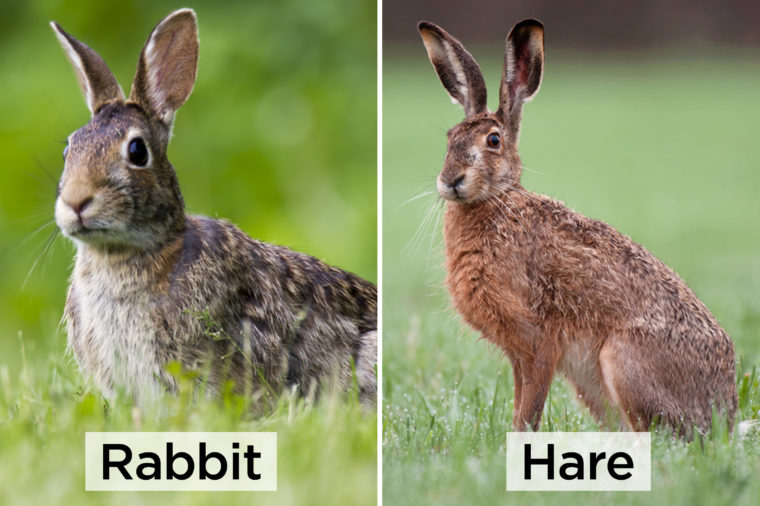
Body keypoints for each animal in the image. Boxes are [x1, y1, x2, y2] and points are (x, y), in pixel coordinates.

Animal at [418, 19, 737, 436]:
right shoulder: (520, 354)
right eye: (449, 139)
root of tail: (725, 418)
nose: (450, 180)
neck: (498, 202)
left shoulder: (537, 342)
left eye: (493, 140)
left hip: (622, 363)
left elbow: (528, 410)